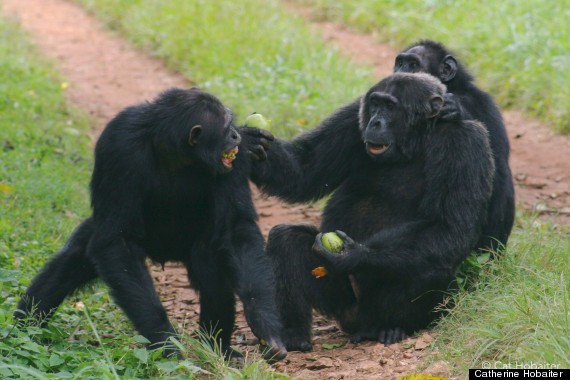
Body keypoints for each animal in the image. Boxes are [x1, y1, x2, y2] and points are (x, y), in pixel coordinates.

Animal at [13, 87, 286, 362]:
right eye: (227, 124)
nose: (236, 134)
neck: (175, 152)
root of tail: (165, 255)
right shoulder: (119, 144)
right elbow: (117, 240)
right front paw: (166, 343)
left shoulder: (235, 161)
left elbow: (235, 229)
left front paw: (265, 323)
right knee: (72, 261)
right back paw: (24, 329)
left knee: (211, 269)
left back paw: (219, 347)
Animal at [248, 73, 492, 350]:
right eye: (375, 103)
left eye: (391, 106)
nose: (375, 121)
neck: (416, 141)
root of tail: (361, 325)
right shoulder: (350, 118)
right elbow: (304, 169)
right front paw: (250, 141)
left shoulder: (466, 144)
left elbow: (447, 225)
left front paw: (352, 255)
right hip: (343, 307)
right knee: (286, 238)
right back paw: (293, 337)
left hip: (378, 308)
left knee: (430, 265)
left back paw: (393, 329)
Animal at [392, 39, 512, 252]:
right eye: (399, 63)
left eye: (413, 65)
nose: (399, 74)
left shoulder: (487, 106)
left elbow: (497, 166)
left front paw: (456, 109)